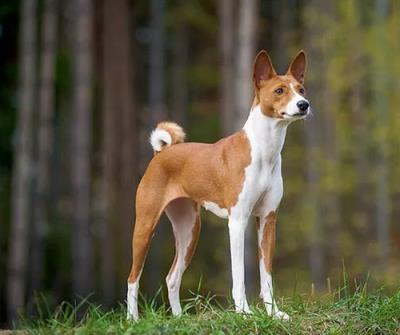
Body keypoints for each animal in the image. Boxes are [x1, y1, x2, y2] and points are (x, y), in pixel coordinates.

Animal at [126, 49, 310, 320]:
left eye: (301, 89)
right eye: (279, 90)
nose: (304, 104)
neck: (265, 151)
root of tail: (161, 152)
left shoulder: (268, 219)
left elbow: (266, 275)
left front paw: (274, 313)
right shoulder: (237, 221)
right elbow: (239, 276)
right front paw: (243, 312)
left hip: (189, 230)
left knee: (172, 277)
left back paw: (180, 319)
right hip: (145, 227)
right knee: (133, 278)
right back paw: (133, 320)